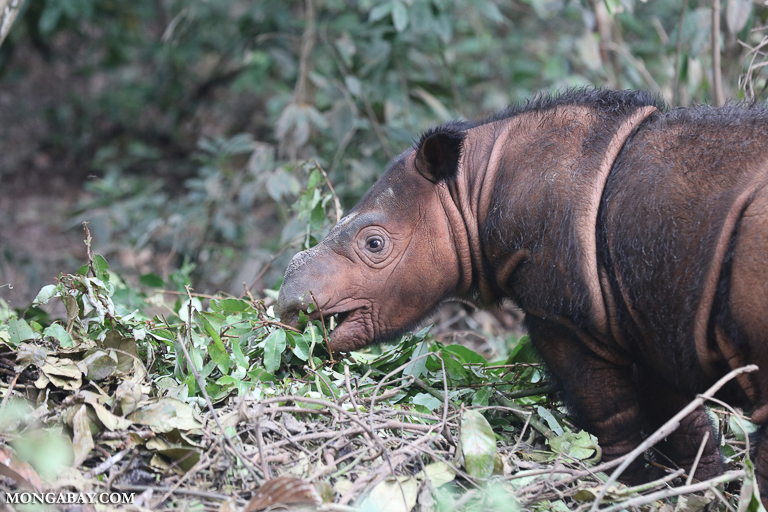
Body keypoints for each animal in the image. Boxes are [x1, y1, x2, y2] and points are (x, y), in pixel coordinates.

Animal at [280, 89, 768, 500]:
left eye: (375, 244)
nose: (289, 305)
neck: (474, 188)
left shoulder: (565, 316)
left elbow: (610, 414)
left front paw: (618, 487)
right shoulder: (646, 314)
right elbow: (682, 419)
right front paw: (700, 490)